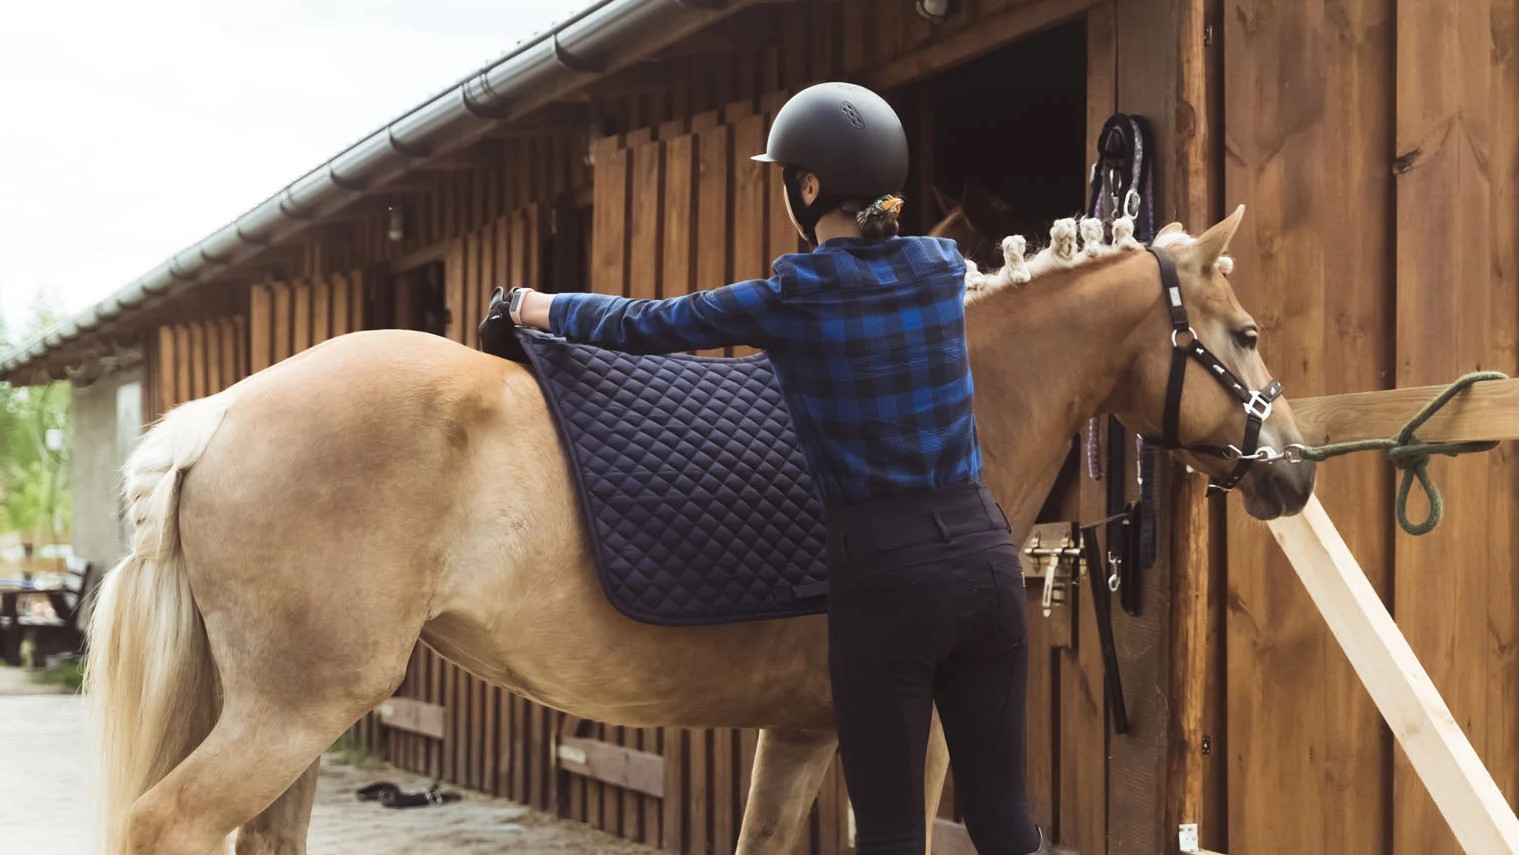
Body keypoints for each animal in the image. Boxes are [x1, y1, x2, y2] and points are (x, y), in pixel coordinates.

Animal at [86, 208, 1318, 855]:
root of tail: (221, 413)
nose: (1294, 471)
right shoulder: (914, 727)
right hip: (295, 711)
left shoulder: (803, 731)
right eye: (1247, 334)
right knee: (167, 823)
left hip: (292, 720)